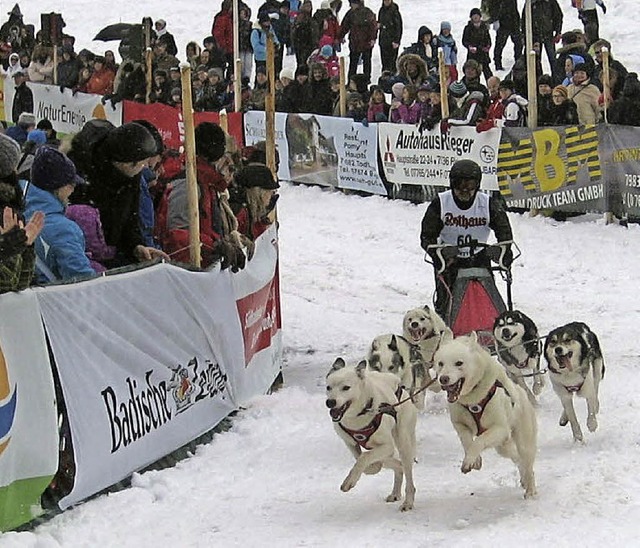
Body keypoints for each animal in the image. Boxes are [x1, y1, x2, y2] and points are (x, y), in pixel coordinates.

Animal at [324, 360, 420, 510]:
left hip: (403, 442)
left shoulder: (387, 445)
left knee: (407, 474)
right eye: (328, 387)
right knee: (397, 465)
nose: (330, 402)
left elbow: (364, 457)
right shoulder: (350, 443)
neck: (359, 414)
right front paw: (372, 467)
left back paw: (408, 502)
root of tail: (400, 386)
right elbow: (363, 461)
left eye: (346, 387)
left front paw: (349, 481)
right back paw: (395, 492)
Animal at [432, 332, 536, 498]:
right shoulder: (460, 425)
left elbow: (478, 441)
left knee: (527, 463)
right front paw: (474, 460)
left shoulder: (500, 428)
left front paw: (469, 460)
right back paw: (523, 478)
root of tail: (522, 394)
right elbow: (467, 441)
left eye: (459, 363)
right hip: (503, 446)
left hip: (522, 439)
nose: (443, 378)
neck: (473, 399)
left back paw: (530, 489)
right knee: (517, 458)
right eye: (440, 363)